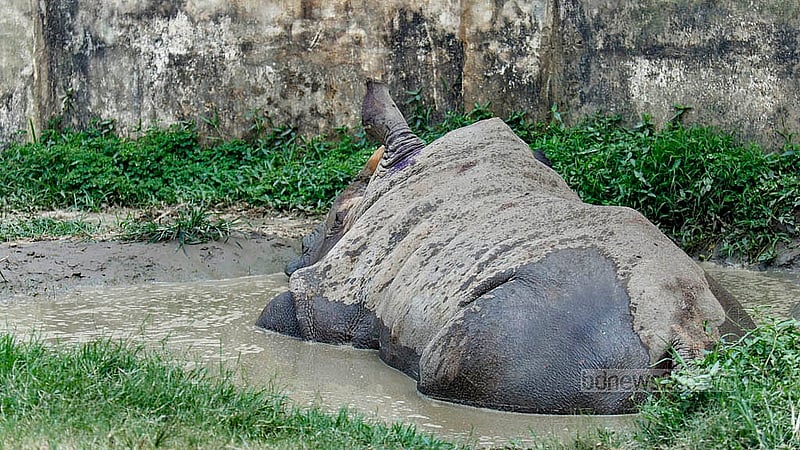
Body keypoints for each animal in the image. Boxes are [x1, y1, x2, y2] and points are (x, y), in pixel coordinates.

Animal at [257, 81, 752, 414]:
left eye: (334, 221)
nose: (295, 255)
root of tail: (686, 330)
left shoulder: (332, 294)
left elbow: (282, 312)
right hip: (714, 317)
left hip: (549, 339)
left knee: (448, 359)